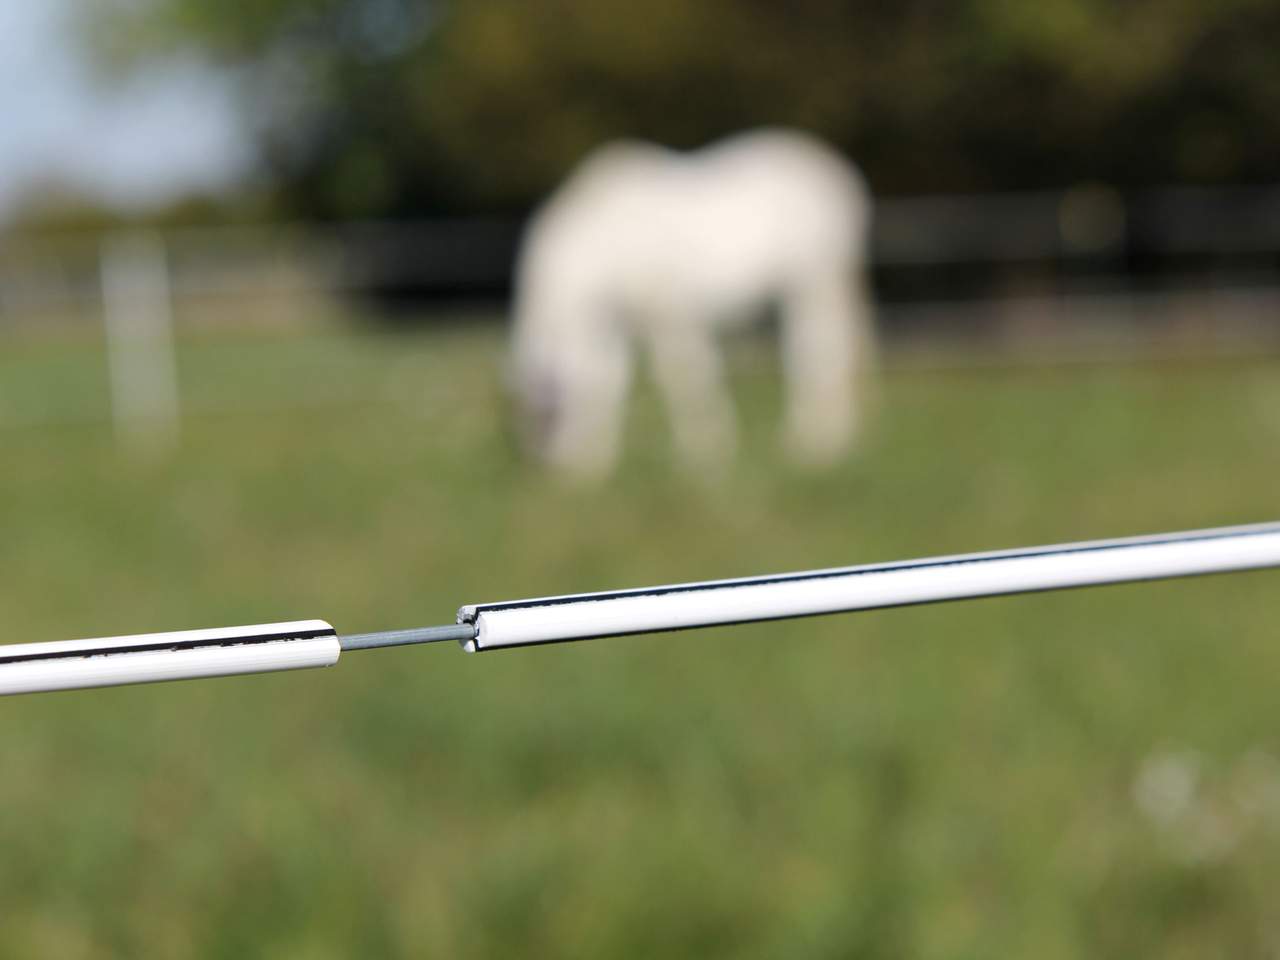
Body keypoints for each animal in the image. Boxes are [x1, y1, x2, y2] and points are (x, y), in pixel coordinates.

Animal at [510, 128, 875, 479]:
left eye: (546, 415)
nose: (551, 466)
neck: (607, 239)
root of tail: (840, 176)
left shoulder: (671, 313)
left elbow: (684, 377)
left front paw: (706, 450)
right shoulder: (617, 322)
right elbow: (607, 379)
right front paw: (596, 461)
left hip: (815, 281)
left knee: (820, 349)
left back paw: (815, 443)